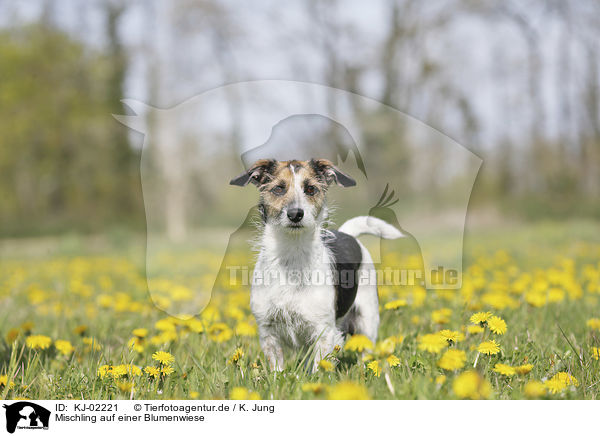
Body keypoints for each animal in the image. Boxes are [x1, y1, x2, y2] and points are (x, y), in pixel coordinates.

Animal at [230, 158, 404, 370]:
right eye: (279, 188)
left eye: (311, 189)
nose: (295, 214)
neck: (293, 255)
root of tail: (347, 233)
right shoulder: (268, 331)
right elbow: (277, 369)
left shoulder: (324, 331)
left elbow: (320, 366)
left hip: (367, 320)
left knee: (366, 350)